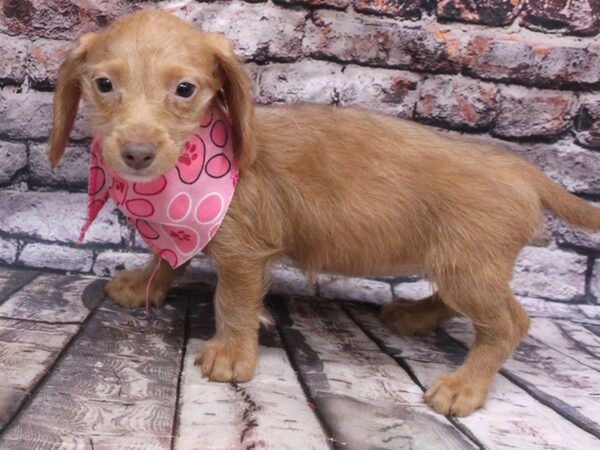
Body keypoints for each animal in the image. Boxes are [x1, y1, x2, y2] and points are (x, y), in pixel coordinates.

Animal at [48, 9, 600, 418]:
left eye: (184, 90)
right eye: (103, 84)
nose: (137, 154)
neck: (187, 174)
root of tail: (524, 169)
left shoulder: (245, 254)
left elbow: (233, 301)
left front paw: (231, 354)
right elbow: (170, 255)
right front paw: (145, 281)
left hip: (469, 267)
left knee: (509, 324)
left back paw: (464, 385)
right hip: (459, 264)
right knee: (454, 300)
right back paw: (415, 315)